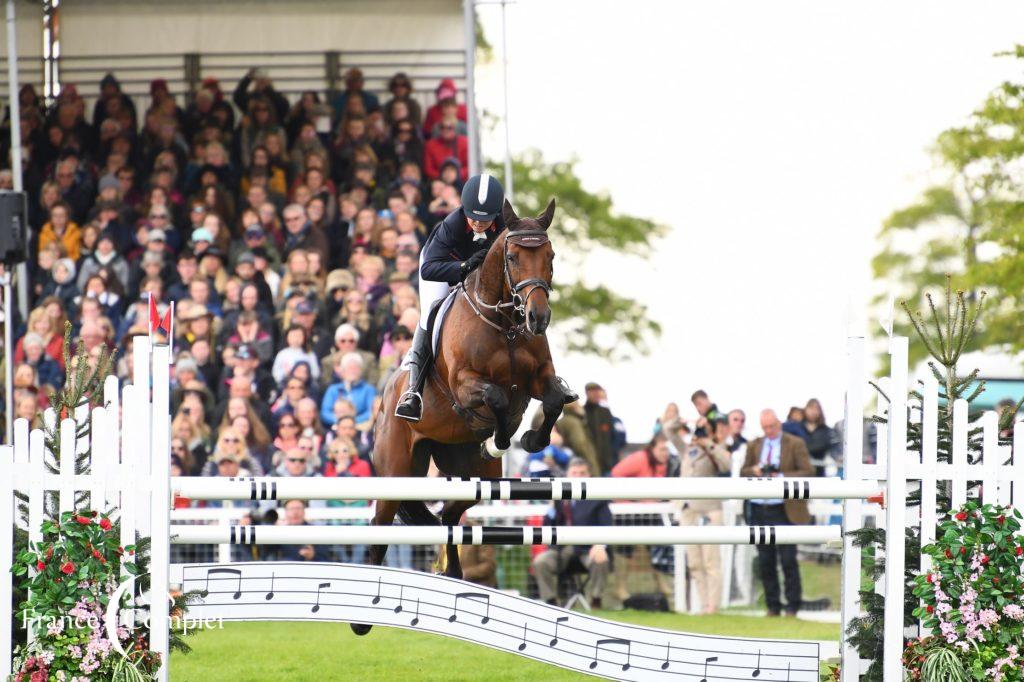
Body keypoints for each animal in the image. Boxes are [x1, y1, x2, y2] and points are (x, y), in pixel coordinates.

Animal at [350, 199, 577, 634]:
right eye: (512, 257)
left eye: (552, 256)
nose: (538, 318)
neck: (505, 324)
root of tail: (383, 403)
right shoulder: (465, 383)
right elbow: (497, 398)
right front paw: (500, 437)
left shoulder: (539, 378)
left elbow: (556, 398)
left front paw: (531, 439)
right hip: (396, 472)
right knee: (380, 528)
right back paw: (362, 619)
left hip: (476, 476)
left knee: (450, 515)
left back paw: (453, 576)